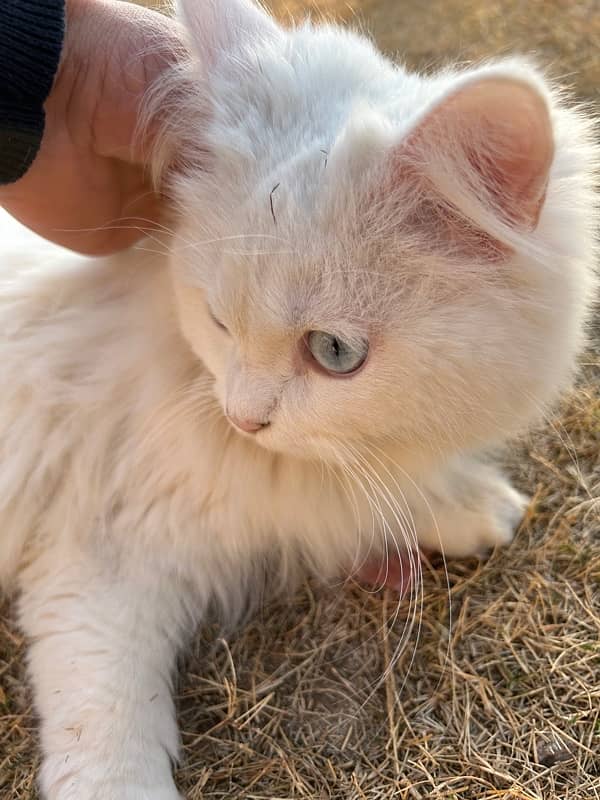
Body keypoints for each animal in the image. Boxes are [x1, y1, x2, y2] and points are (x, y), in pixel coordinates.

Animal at [0, 1, 596, 800]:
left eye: (334, 353)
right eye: (217, 320)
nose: (243, 418)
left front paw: (463, 504)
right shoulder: (101, 551)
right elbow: (107, 729)